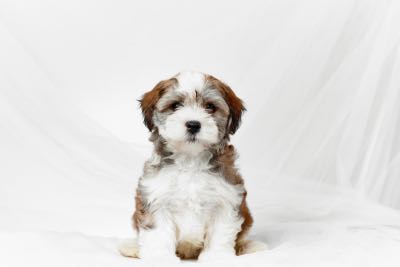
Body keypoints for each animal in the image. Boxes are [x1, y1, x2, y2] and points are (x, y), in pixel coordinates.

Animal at [119, 71, 266, 264]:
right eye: (175, 105)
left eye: (210, 107)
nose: (193, 124)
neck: (191, 159)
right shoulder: (156, 197)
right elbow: (158, 233)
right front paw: (160, 258)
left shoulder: (226, 198)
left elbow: (220, 231)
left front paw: (217, 257)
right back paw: (132, 248)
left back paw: (249, 246)